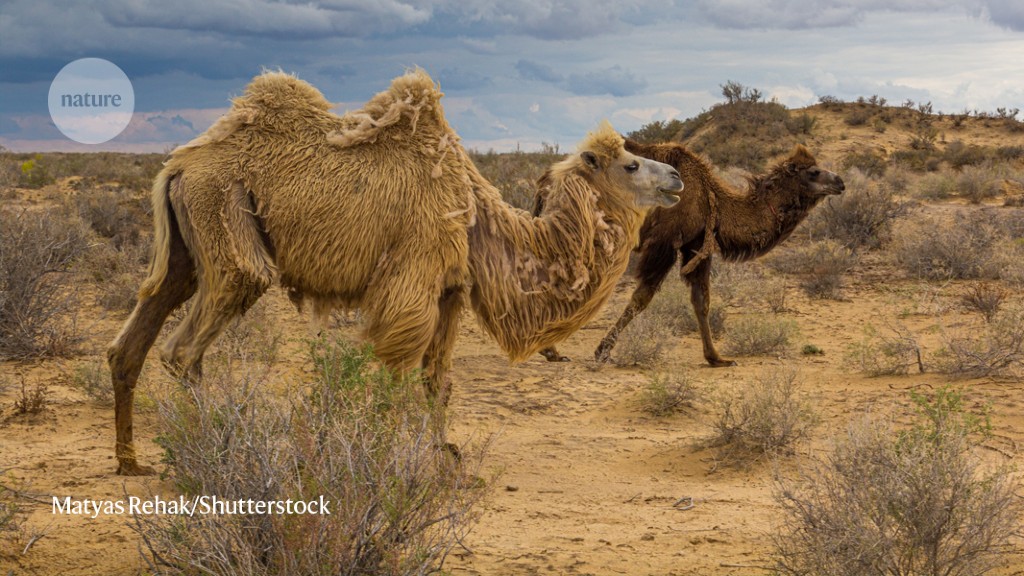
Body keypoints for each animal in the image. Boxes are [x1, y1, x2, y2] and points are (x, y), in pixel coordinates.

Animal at [108, 69, 684, 473]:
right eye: (631, 164)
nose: (677, 177)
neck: (475, 215)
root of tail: (178, 165)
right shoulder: (412, 285)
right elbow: (395, 374)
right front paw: (389, 457)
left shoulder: (450, 291)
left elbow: (438, 382)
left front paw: (445, 457)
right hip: (224, 219)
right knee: (188, 346)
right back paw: (214, 448)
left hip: (187, 249)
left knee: (134, 337)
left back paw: (131, 461)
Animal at [532, 138, 843, 362]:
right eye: (814, 172)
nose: (840, 182)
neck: (711, 196)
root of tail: (546, 179)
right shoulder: (665, 242)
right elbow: (642, 297)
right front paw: (602, 350)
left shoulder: (696, 244)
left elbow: (701, 300)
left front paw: (716, 358)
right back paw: (550, 350)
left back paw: (549, 349)